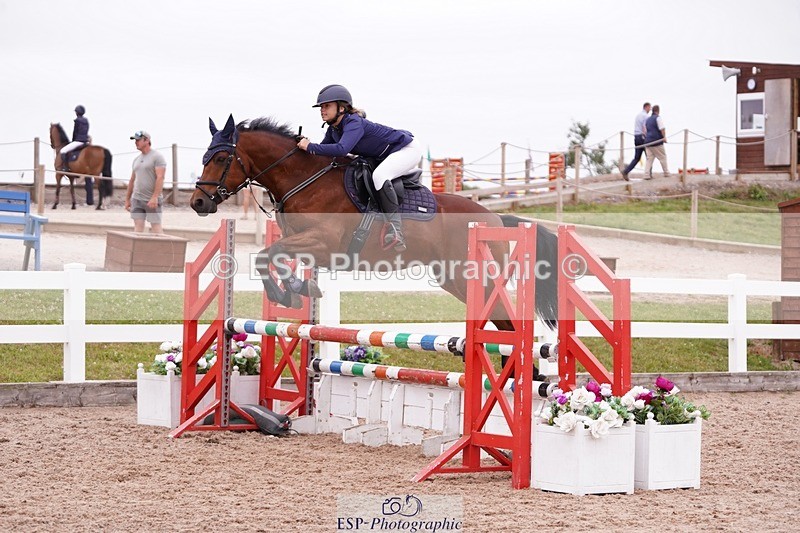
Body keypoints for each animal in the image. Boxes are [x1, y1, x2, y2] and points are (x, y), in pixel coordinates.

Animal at [190, 115, 559, 377]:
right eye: (206, 155)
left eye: (220, 158)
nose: (198, 202)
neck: (303, 180)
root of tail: (495, 217)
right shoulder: (303, 244)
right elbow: (272, 258)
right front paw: (297, 289)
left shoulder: (322, 242)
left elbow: (267, 255)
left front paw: (289, 293)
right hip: (454, 280)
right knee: (501, 326)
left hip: (475, 279)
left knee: (507, 325)